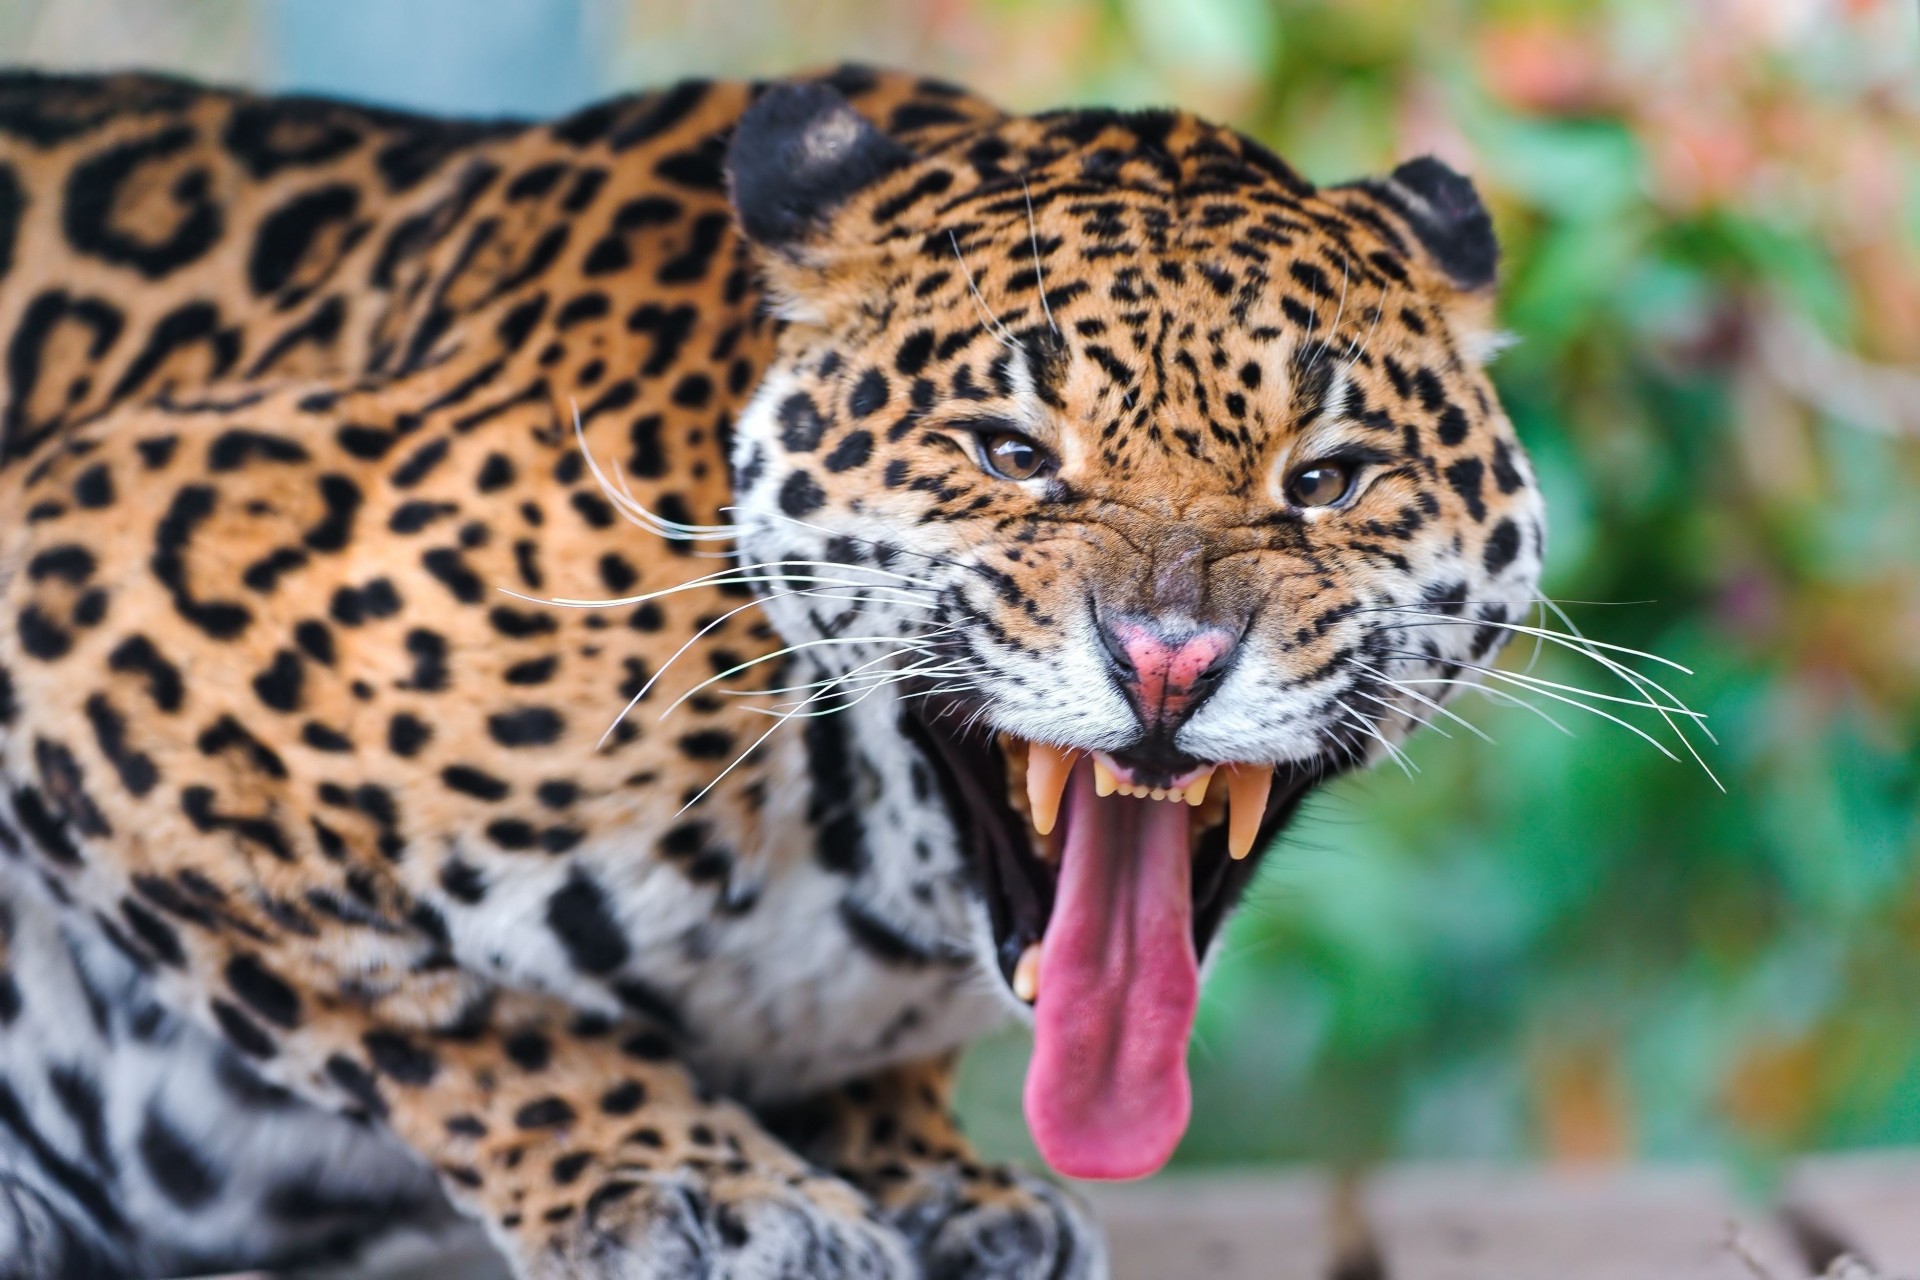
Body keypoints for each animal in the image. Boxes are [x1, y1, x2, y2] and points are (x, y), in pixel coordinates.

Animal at [0, 62, 1545, 1278]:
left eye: (1328, 479)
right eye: (1010, 454)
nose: (1171, 662)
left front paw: (925, 1175)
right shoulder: (92, 566)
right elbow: (440, 1009)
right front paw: (695, 1182)